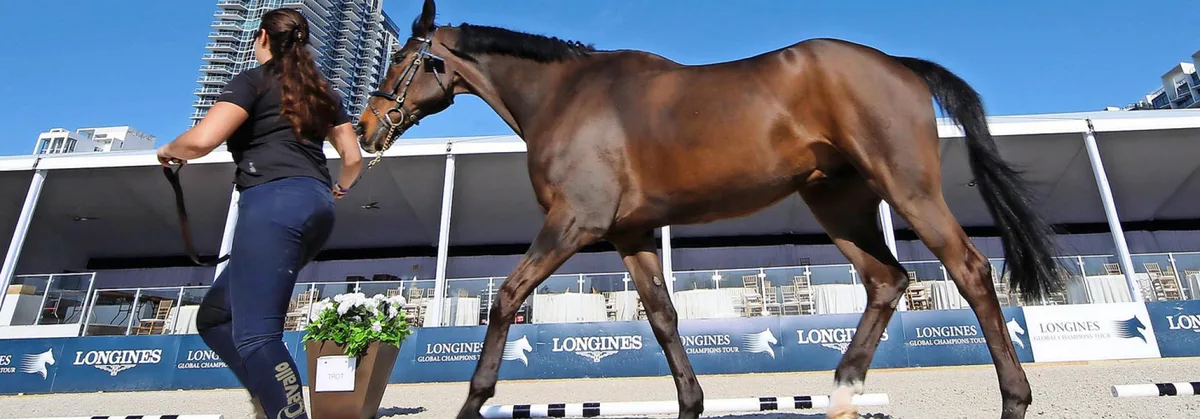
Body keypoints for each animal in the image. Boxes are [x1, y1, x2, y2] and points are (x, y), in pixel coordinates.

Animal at [355, 1, 1063, 418]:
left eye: (403, 60)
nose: (363, 129)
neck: (567, 96)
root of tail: (899, 64)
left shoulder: (574, 223)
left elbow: (505, 298)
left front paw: (474, 401)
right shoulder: (631, 234)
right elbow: (664, 318)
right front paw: (691, 403)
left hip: (906, 190)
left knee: (969, 271)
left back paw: (1014, 399)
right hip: (838, 203)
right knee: (887, 280)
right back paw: (841, 391)